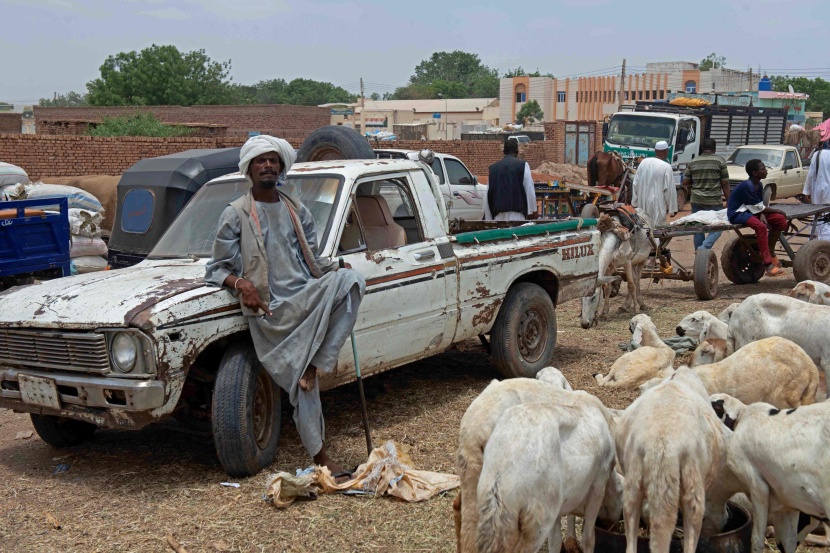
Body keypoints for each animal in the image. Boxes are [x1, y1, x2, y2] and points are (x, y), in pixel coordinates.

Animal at [478, 398, 620, 552]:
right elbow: (589, 538)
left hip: (491, 507)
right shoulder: (598, 486)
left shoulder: (559, 505)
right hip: (538, 520)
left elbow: (555, 541)